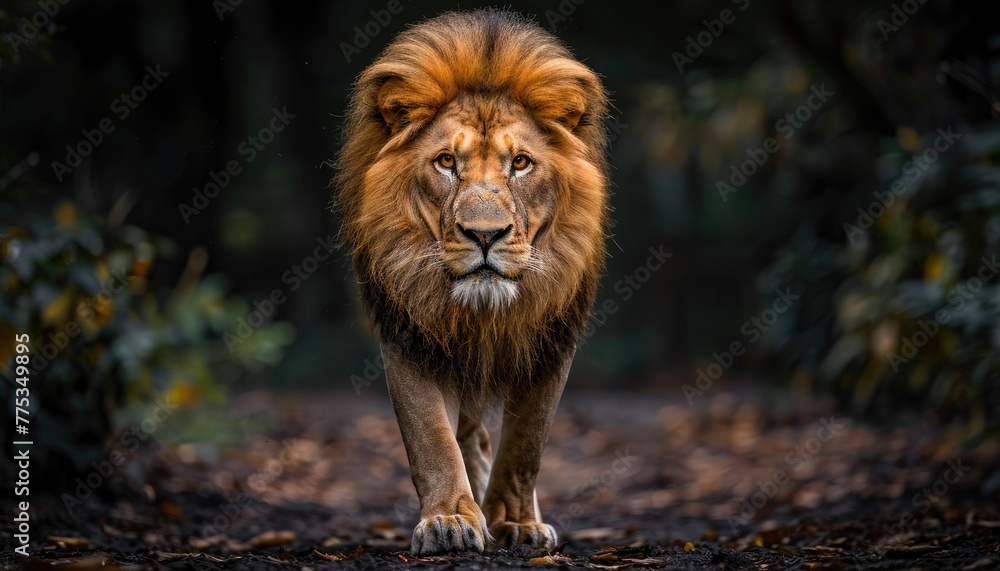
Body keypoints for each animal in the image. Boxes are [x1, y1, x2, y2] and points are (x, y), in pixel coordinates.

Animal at [335, 9, 609, 554]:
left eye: (520, 162)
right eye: (446, 162)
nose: (485, 235)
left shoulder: (551, 343)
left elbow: (527, 446)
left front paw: (518, 523)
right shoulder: (411, 334)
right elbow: (431, 438)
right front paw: (450, 520)